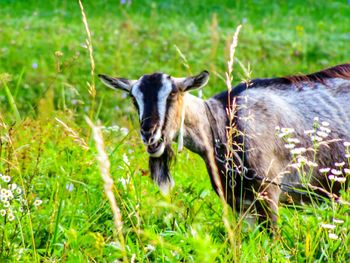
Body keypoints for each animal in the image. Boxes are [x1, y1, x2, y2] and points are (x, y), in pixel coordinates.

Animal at [98, 64, 350, 229]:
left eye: (172, 94)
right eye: (134, 99)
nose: (150, 134)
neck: (221, 124)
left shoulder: (268, 193)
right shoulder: (238, 202)